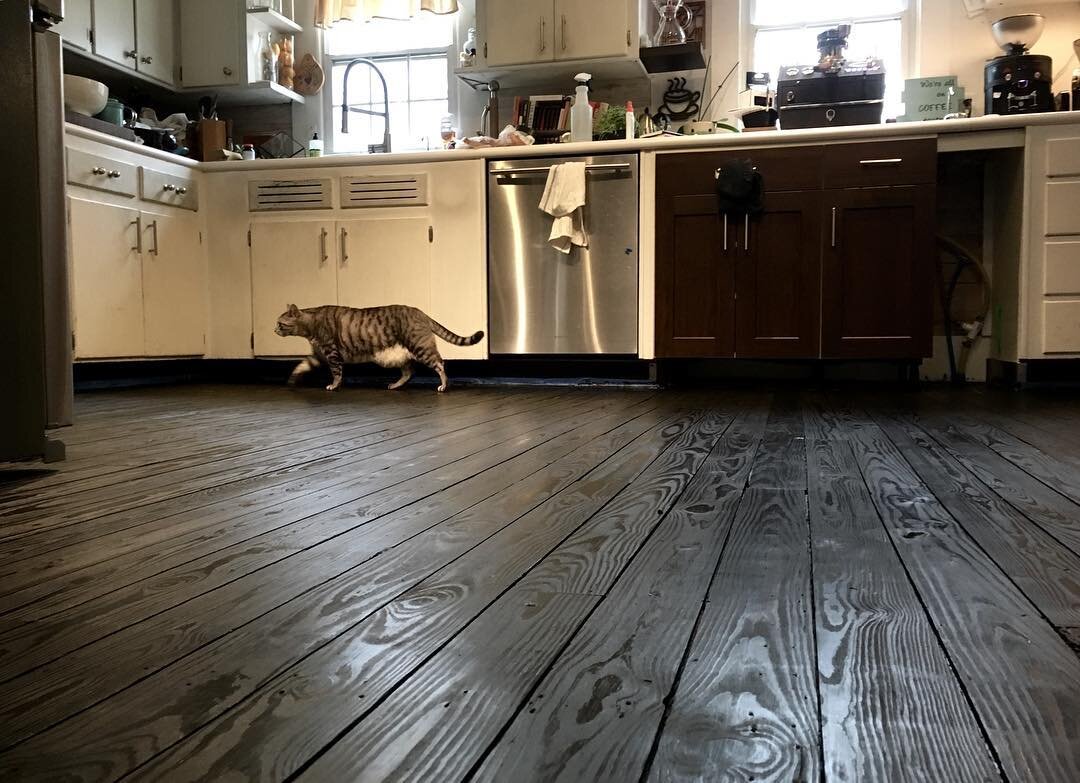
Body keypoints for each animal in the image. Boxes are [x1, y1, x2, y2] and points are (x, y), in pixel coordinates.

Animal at [276, 304, 483, 393]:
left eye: (280, 323)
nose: (274, 329)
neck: (311, 324)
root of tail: (421, 312)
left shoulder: (331, 352)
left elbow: (336, 373)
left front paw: (334, 385)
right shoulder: (318, 355)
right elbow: (301, 365)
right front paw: (292, 379)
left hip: (420, 347)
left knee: (440, 364)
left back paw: (444, 385)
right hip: (401, 355)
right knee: (410, 372)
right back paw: (395, 385)